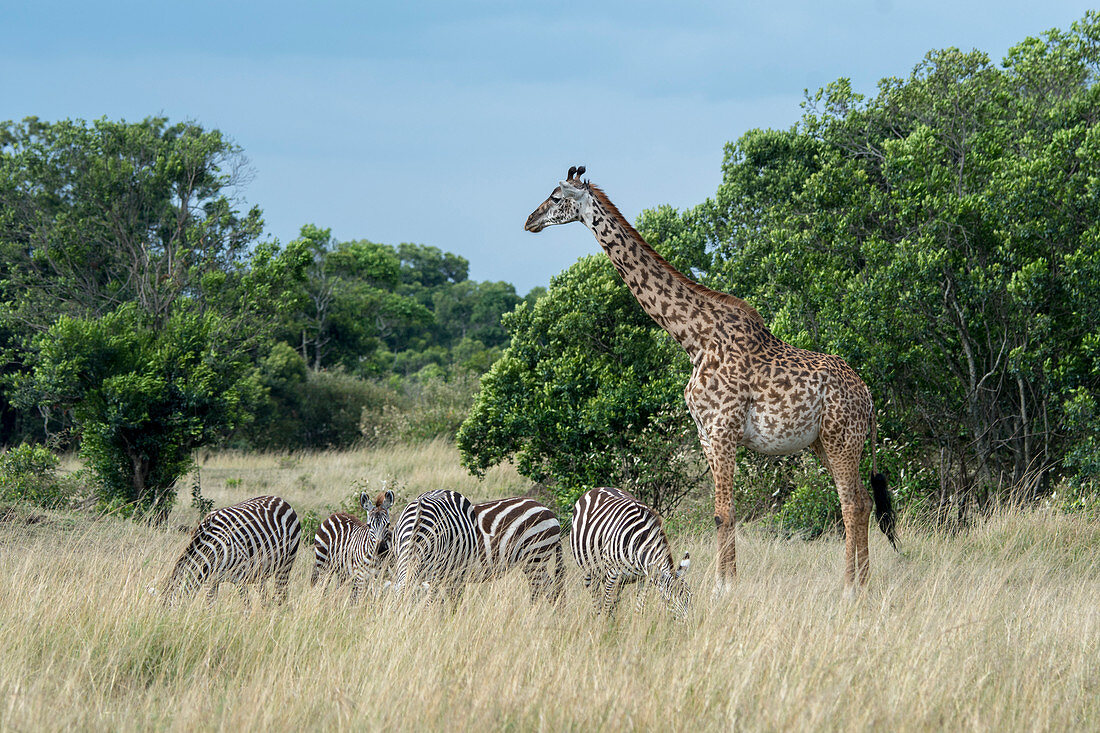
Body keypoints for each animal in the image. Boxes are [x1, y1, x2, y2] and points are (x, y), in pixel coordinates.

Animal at [161, 490, 301, 603]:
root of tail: (280, 499)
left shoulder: (241, 578)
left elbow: (246, 607)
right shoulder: (210, 582)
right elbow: (210, 608)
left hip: (286, 564)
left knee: (281, 595)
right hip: (261, 571)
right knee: (265, 599)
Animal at [391, 488, 563, 603]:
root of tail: (547, 509)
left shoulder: (443, 573)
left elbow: (437, 603)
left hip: (535, 557)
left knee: (540, 590)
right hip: (534, 563)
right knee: (550, 589)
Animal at [523, 165, 893, 589]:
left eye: (555, 196)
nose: (529, 221)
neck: (693, 338)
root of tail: (868, 397)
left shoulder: (722, 429)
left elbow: (722, 513)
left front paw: (724, 587)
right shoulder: (704, 433)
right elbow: (722, 514)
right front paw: (725, 582)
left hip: (841, 438)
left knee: (850, 503)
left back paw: (849, 587)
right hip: (823, 443)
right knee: (862, 500)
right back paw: (862, 582)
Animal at [572, 484, 690, 616]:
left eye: (689, 598)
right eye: (668, 600)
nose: (687, 621)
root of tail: (599, 488)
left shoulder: (644, 578)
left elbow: (639, 606)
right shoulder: (612, 575)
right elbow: (607, 607)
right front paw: (605, 621)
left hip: (619, 581)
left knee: (613, 601)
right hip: (589, 569)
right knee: (596, 597)